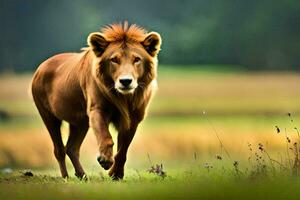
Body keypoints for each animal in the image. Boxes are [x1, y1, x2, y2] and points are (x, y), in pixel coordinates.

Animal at [31, 22, 162, 180]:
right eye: (114, 59)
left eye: (137, 59)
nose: (125, 81)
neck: (124, 97)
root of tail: (40, 67)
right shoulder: (97, 109)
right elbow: (106, 137)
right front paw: (105, 160)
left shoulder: (134, 117)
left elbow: (123, 149)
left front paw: (116, 174)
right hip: (48, 116)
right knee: (59, 150)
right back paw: (66, 177)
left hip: (80, 122)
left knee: (71, 148)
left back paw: (82, 175)